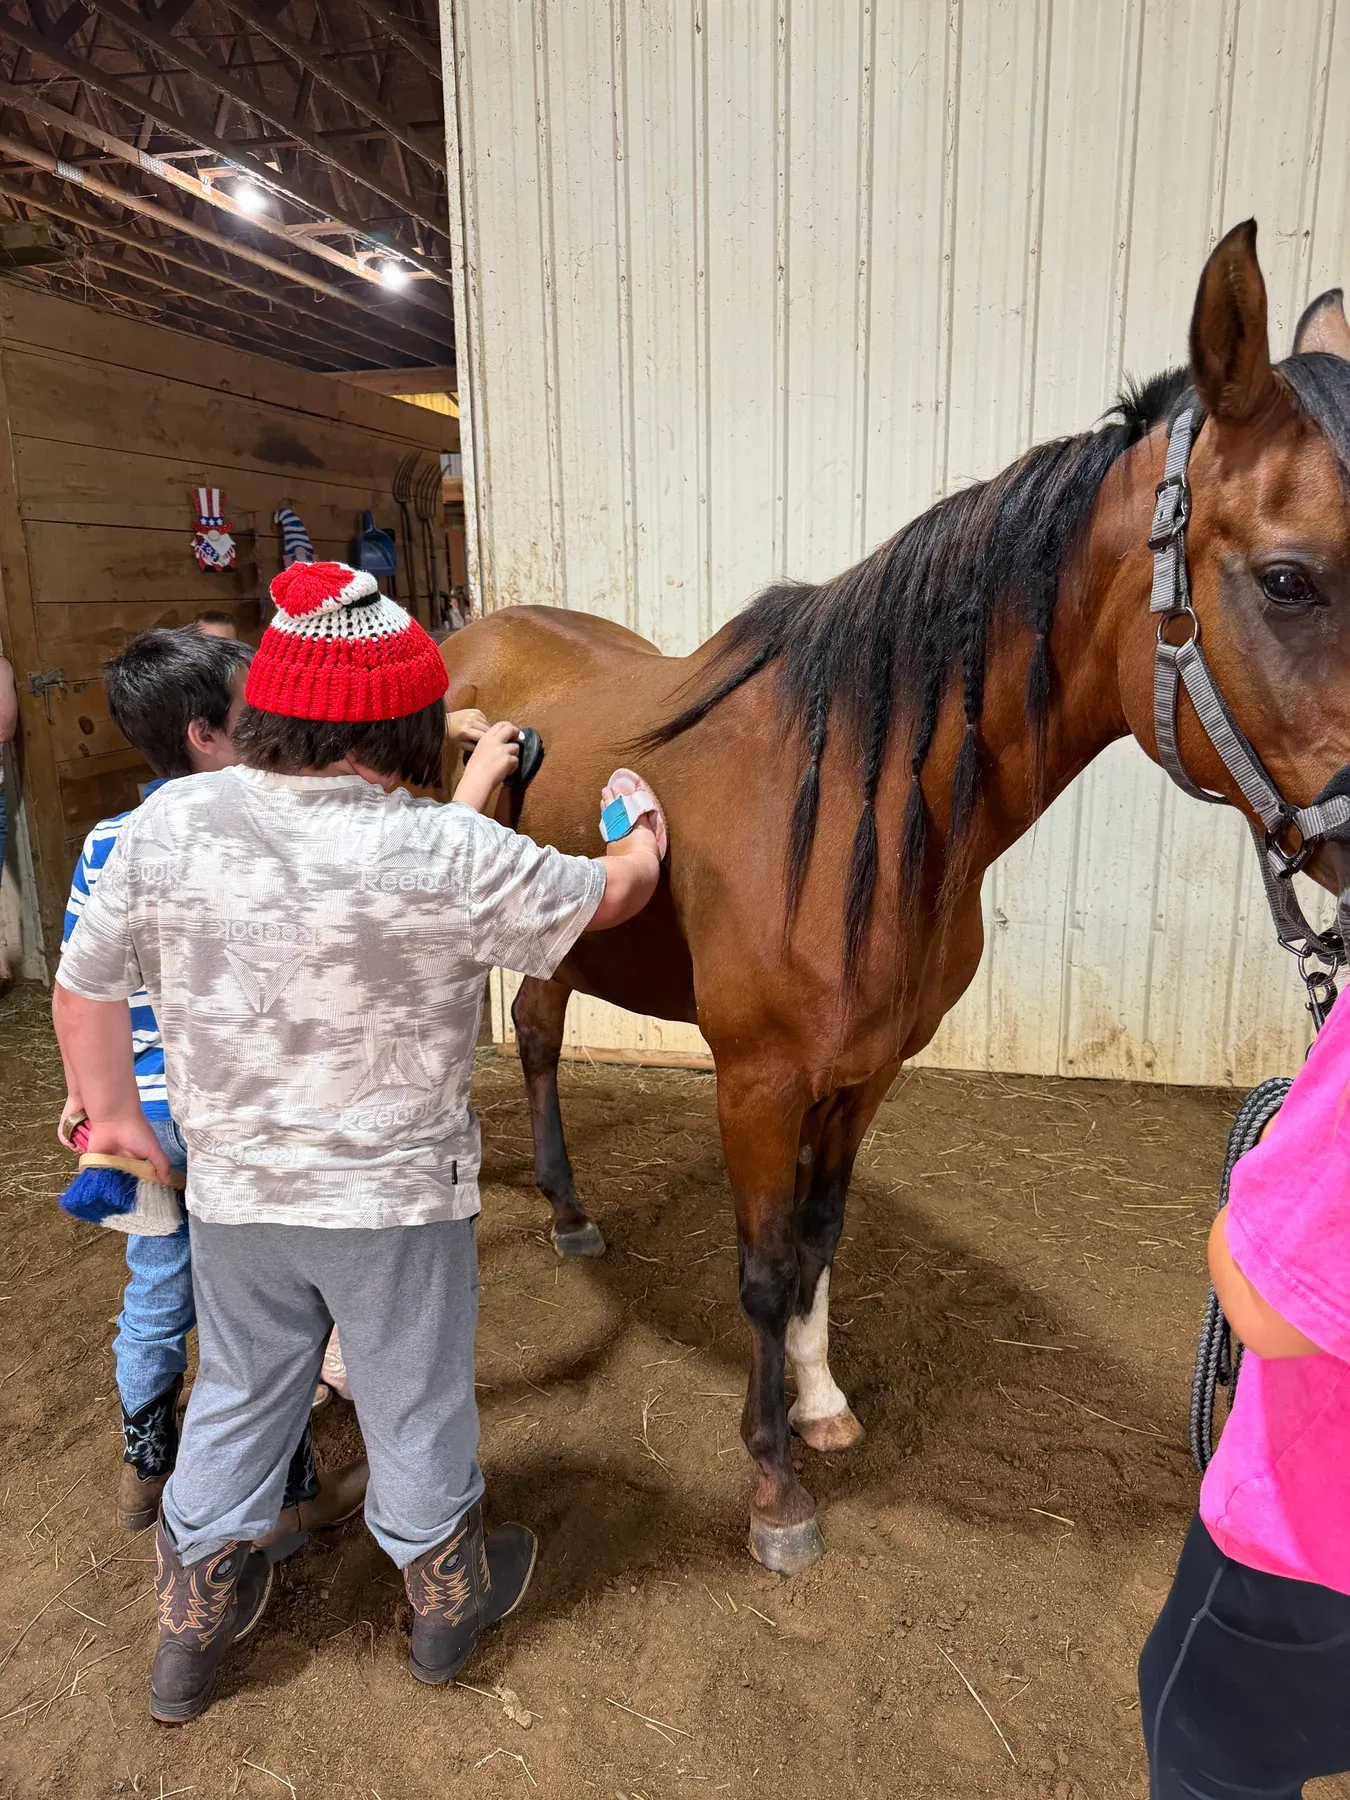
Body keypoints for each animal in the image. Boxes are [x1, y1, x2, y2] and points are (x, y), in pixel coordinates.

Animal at [442, 222, 1350, 1574]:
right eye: (1291, 581)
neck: (858, 811)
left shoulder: (865, 1072)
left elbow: (821, 1240)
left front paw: (820, 1404)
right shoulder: (758, 1080)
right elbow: (764, 1268)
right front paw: (774, 1487)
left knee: (543, 1036)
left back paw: (566, 1213)